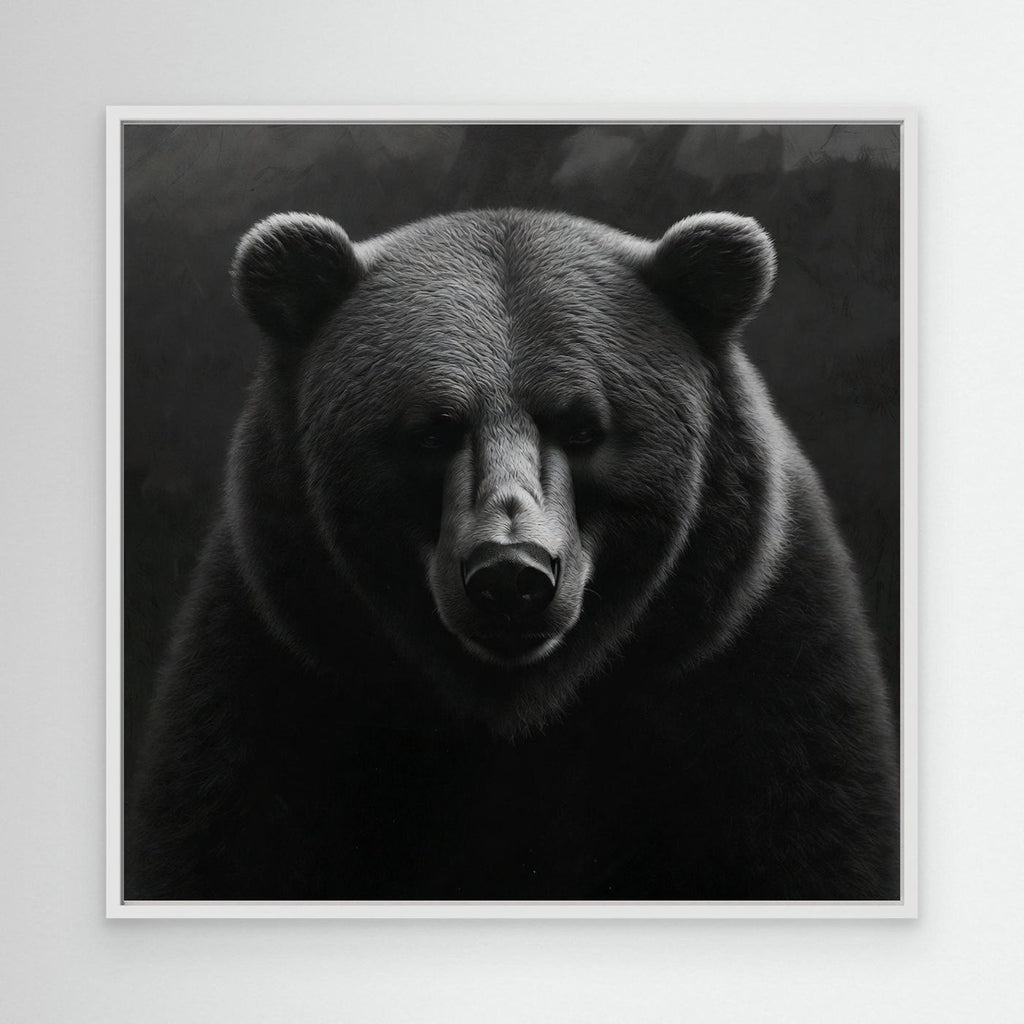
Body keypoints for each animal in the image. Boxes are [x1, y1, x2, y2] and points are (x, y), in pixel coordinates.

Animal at [126, 208, 899, 902]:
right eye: (433, 429)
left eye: (584, 426)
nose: (510, 576)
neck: (517, 711)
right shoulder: (281, 670)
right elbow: (224, 831)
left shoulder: (751, 665)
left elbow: (814, 828)